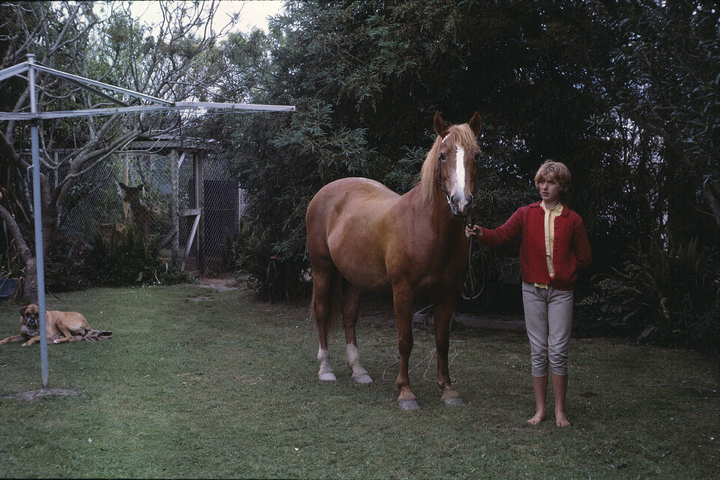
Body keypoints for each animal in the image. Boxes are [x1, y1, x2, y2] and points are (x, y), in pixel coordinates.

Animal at [305, 111, 482, 410]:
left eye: (477, 155)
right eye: (443, 156)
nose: (461, 203)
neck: (427, 227)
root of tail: (324, 192)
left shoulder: (448, 292)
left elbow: (442, 339)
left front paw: (448, 390)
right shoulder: (402, 291)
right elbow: (404, 340)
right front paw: (406, 392)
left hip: (358, 277)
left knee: (349, 314)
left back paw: (358, 370)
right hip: (322, 269)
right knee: (321, 311)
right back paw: (325, 369)